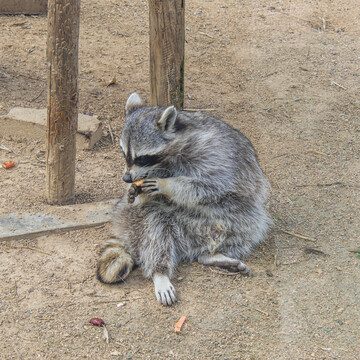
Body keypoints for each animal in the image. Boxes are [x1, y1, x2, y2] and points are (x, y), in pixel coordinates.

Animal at [97, 93, 272, 306]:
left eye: (141, 158)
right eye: (124, 154)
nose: (126, 178)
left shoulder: (216, 155)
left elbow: (211, 186)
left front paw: (168, 185)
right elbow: (144, 201)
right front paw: (137, 192)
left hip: (228, 218)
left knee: (249, 224)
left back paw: (209, 255)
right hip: (133, 218)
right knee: (153, 223)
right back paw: (160, 271)